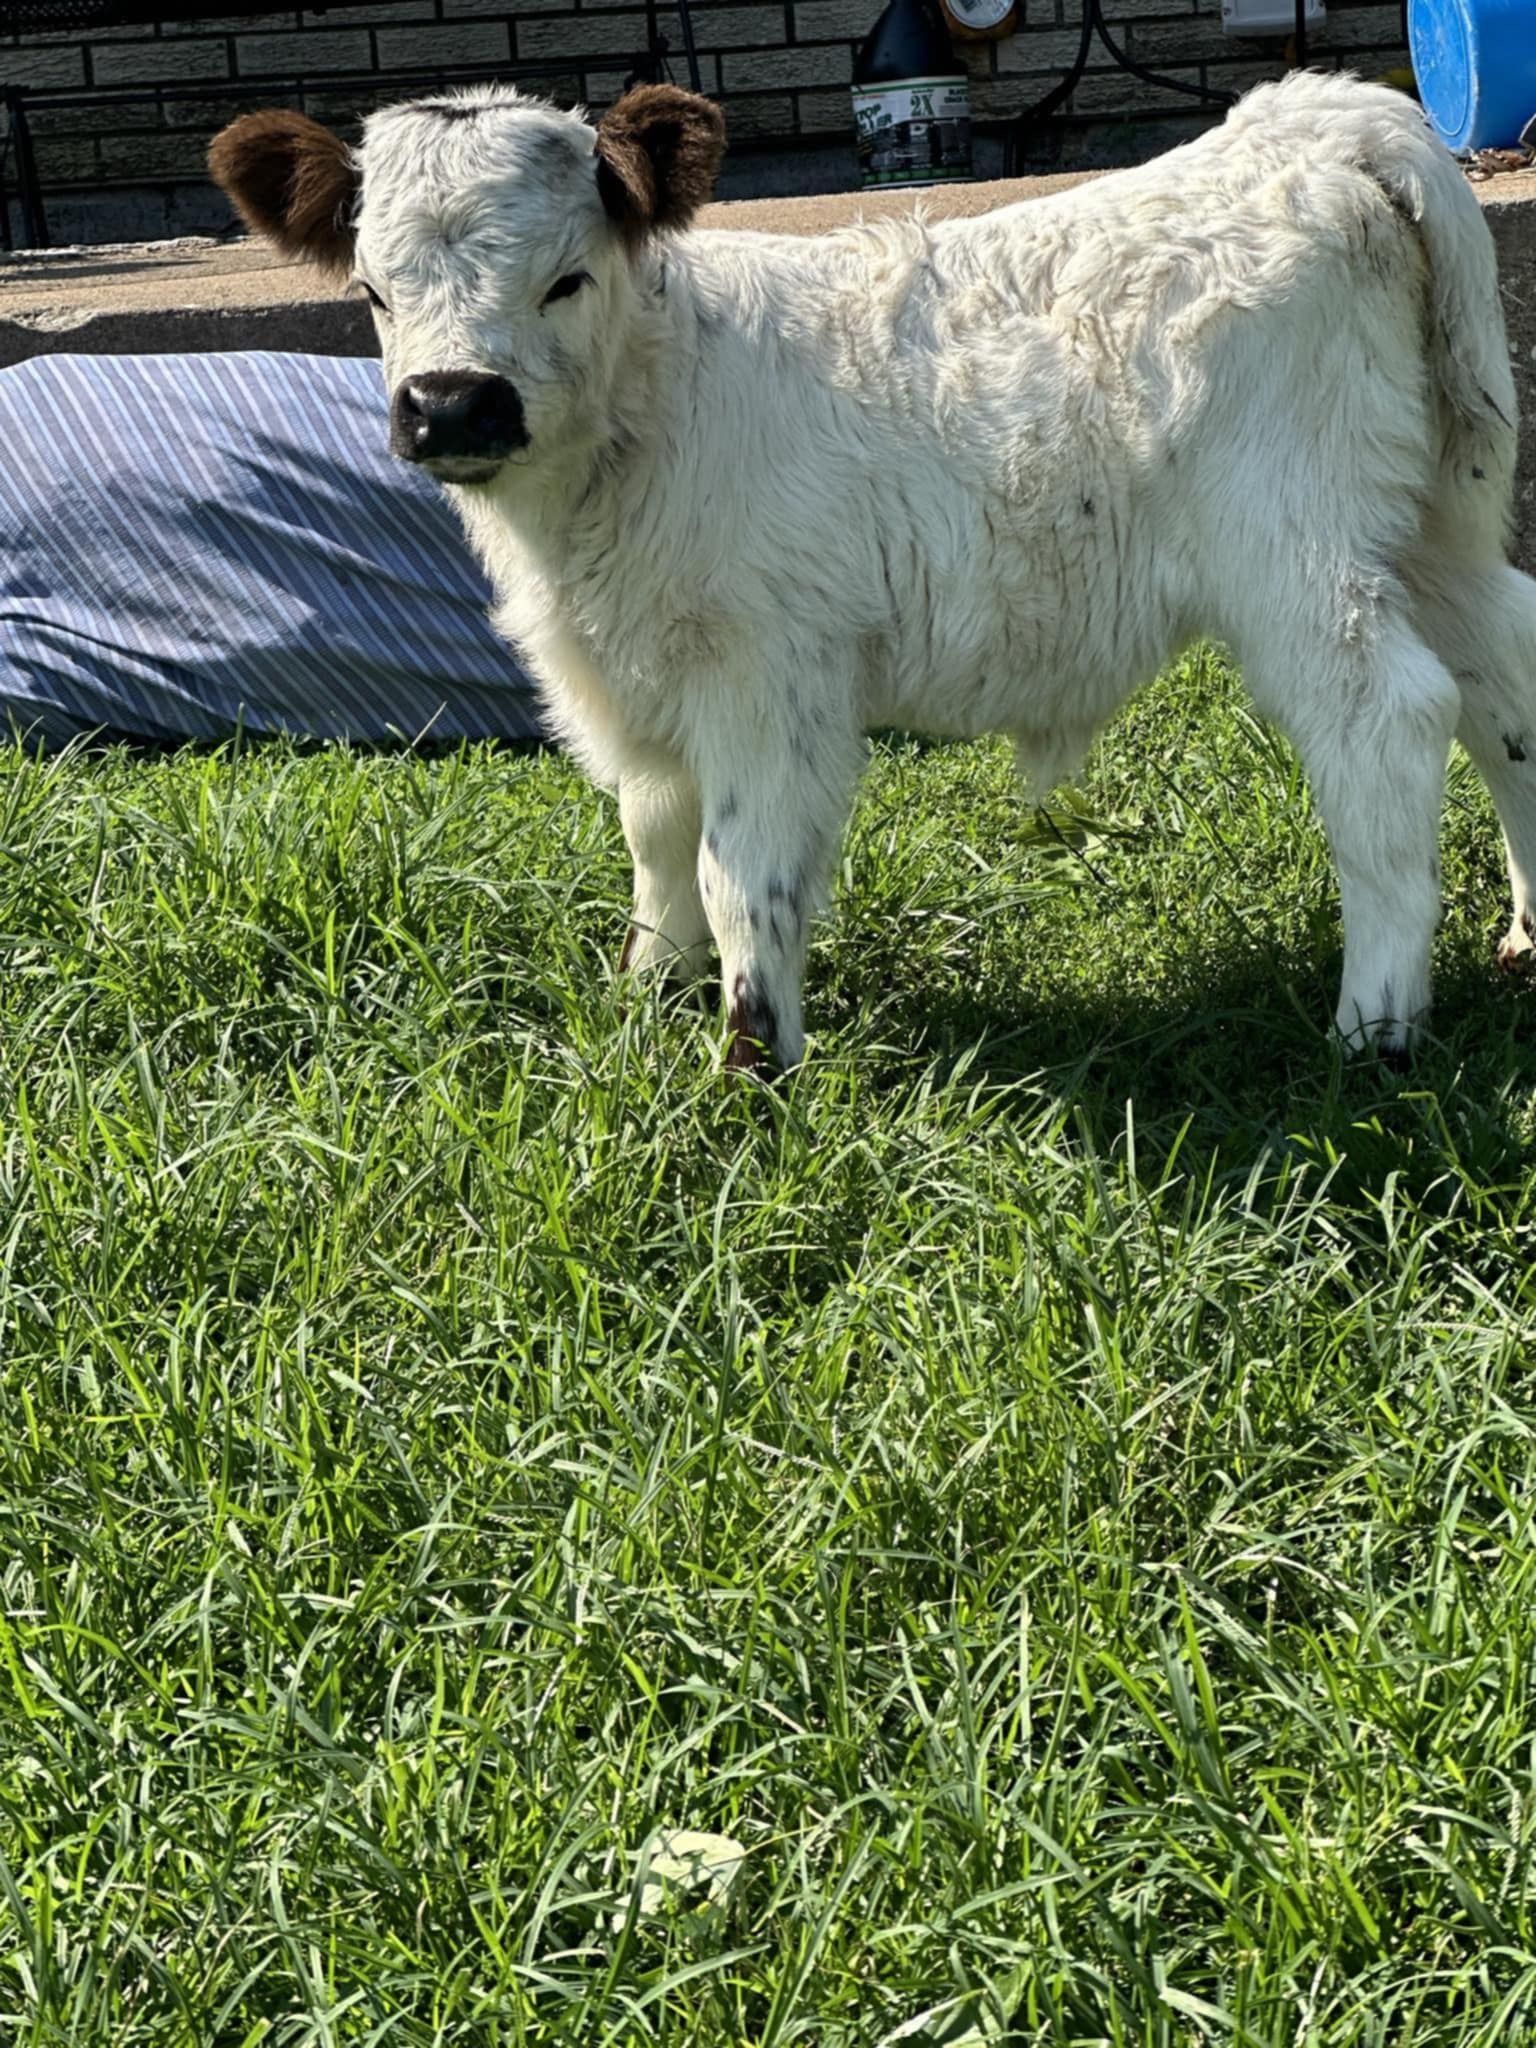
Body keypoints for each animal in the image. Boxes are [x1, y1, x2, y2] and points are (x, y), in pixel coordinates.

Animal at [210, 72, 1536, 1073]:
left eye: (565, 278)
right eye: (373, 291)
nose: (450, 405)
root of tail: (1313, 121)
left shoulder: (767, 675)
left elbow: (741, 870)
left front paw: (751, 1067)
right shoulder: (637, 682)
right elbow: (653, 835)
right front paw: (645, 998)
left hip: (1293, 550)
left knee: (1387, 720)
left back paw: (1373, 1027)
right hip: (1429, 527)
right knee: (1503, 687)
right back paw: (1525, 938)